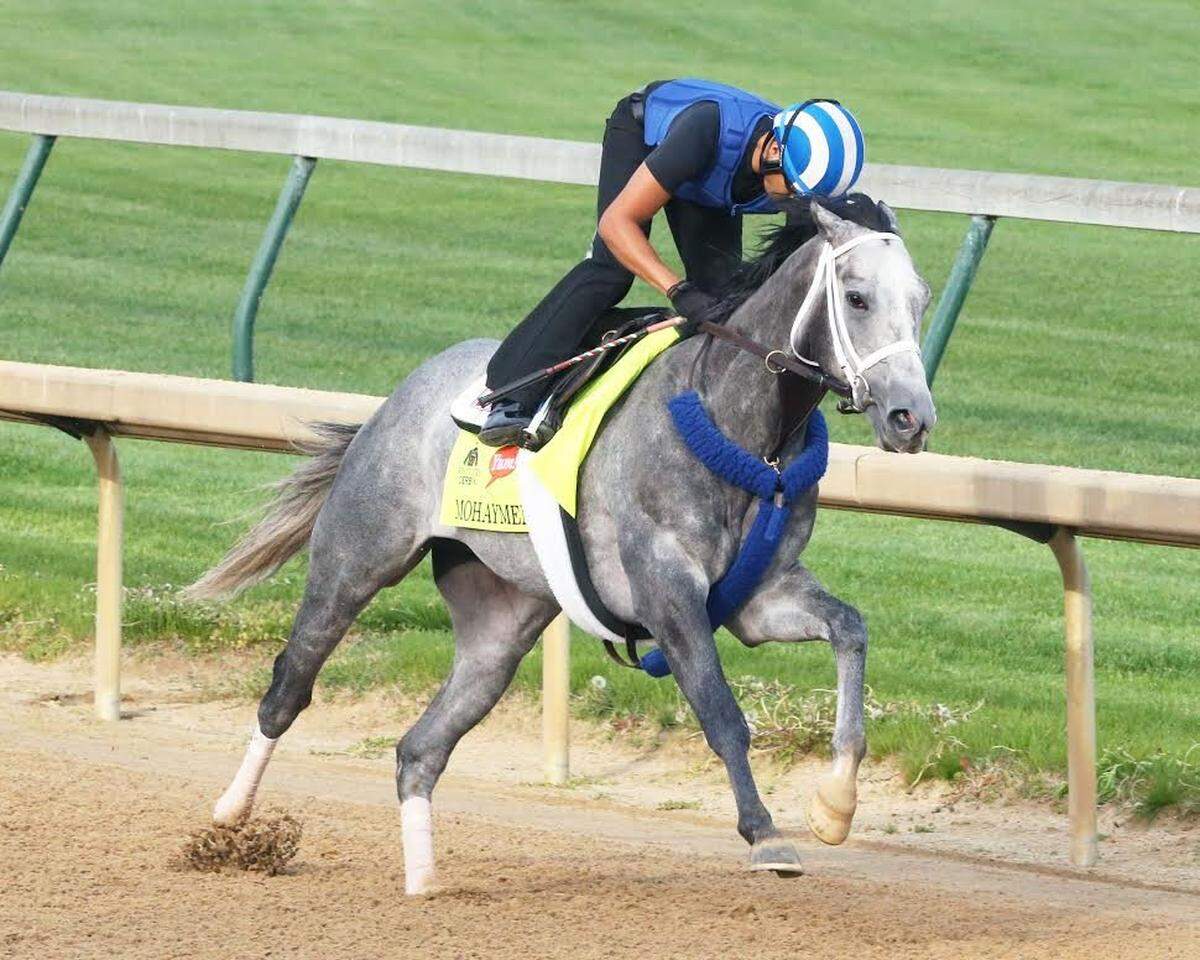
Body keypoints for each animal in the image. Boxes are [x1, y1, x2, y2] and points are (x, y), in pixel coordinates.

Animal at [186, 197, 936, 894]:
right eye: (857, 297)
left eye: (920, 300)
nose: (912, 418)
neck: (735, 422)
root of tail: (397, 398)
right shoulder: (668, 594)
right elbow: (722, 712)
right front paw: (765, 835)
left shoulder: (758, 596)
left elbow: (851, 629)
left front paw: (834, 804)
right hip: (356, 559)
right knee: (289, 686)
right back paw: (229, 821)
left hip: (500, 621)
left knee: (420, 749)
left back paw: (423, 879)